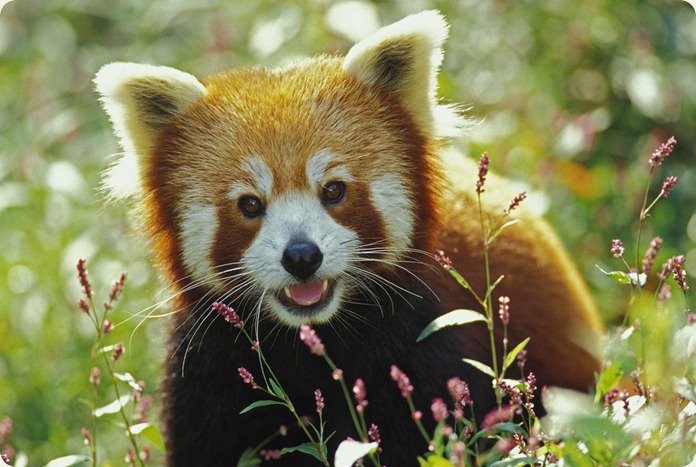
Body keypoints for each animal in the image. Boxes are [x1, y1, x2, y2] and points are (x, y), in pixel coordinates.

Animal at [95, 10, 600, 467]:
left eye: (333, 190)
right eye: (250, 205)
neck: (310, 344)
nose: (302, 256)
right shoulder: (209, 374)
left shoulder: (423, 346)